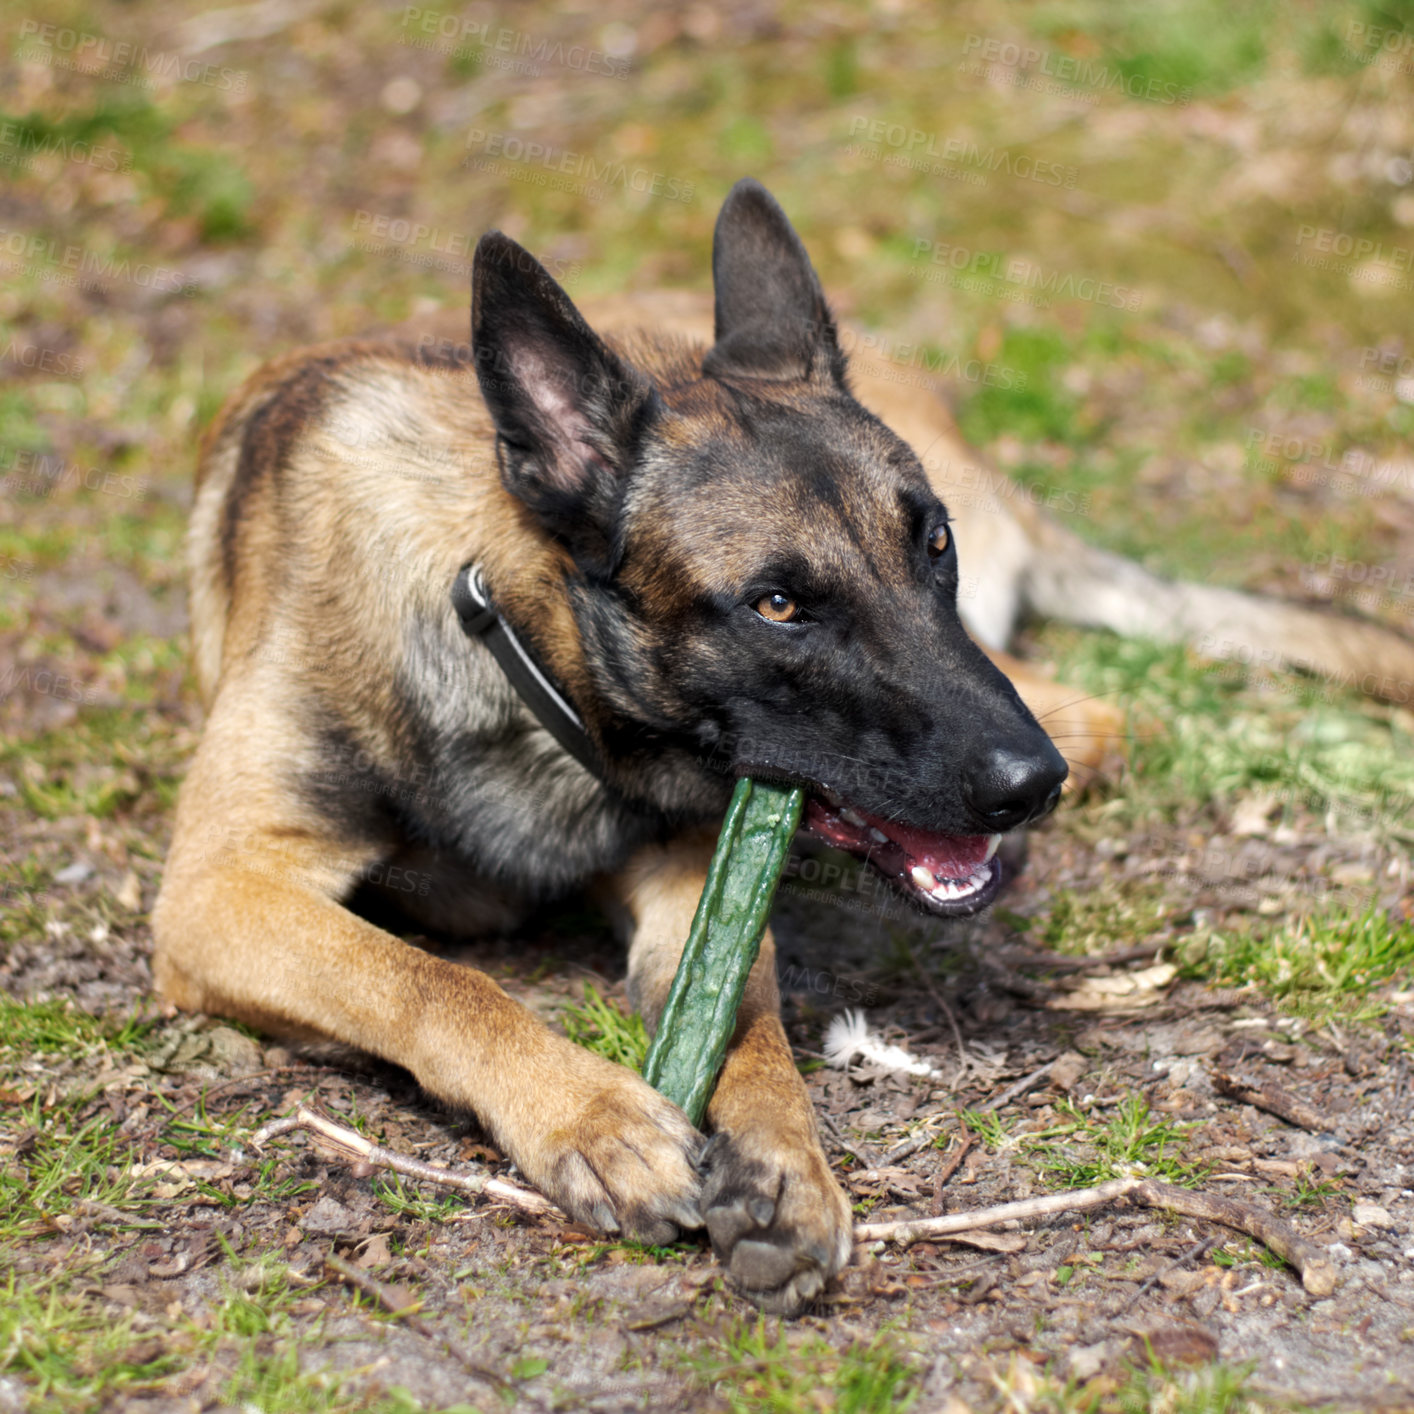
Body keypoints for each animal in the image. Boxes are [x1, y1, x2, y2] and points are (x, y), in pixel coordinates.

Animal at [154, 179, 1414, 1312]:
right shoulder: (221, 893)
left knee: (1104, 712)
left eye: (930, 543)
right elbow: (433, 981)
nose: (1028, 788)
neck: (515, 642)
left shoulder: (691, 883)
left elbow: (751, 1027)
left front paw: (784, 1165)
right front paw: (593, 1115)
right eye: (775, 605)